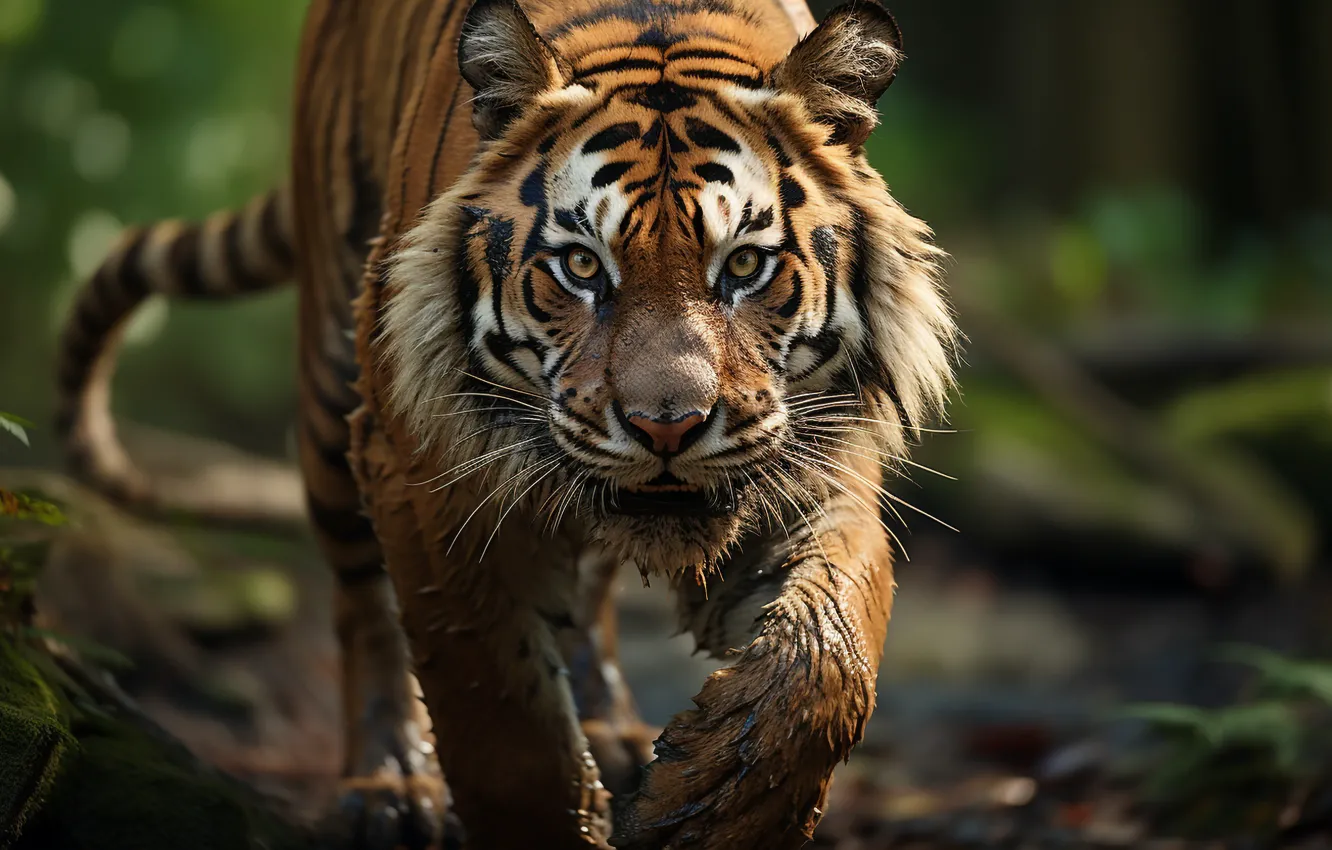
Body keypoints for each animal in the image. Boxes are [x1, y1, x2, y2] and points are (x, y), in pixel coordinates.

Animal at [54, 0, 957, 847]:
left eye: (743, 264)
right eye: (582, 265)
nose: (666, 428)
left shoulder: (819, 454)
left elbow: (827, 652)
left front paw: (713, 806)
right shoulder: (424, 469)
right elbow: (501, 715)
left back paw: (609, 730)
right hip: (333, 381)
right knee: (360, 600)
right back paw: (389, 786)